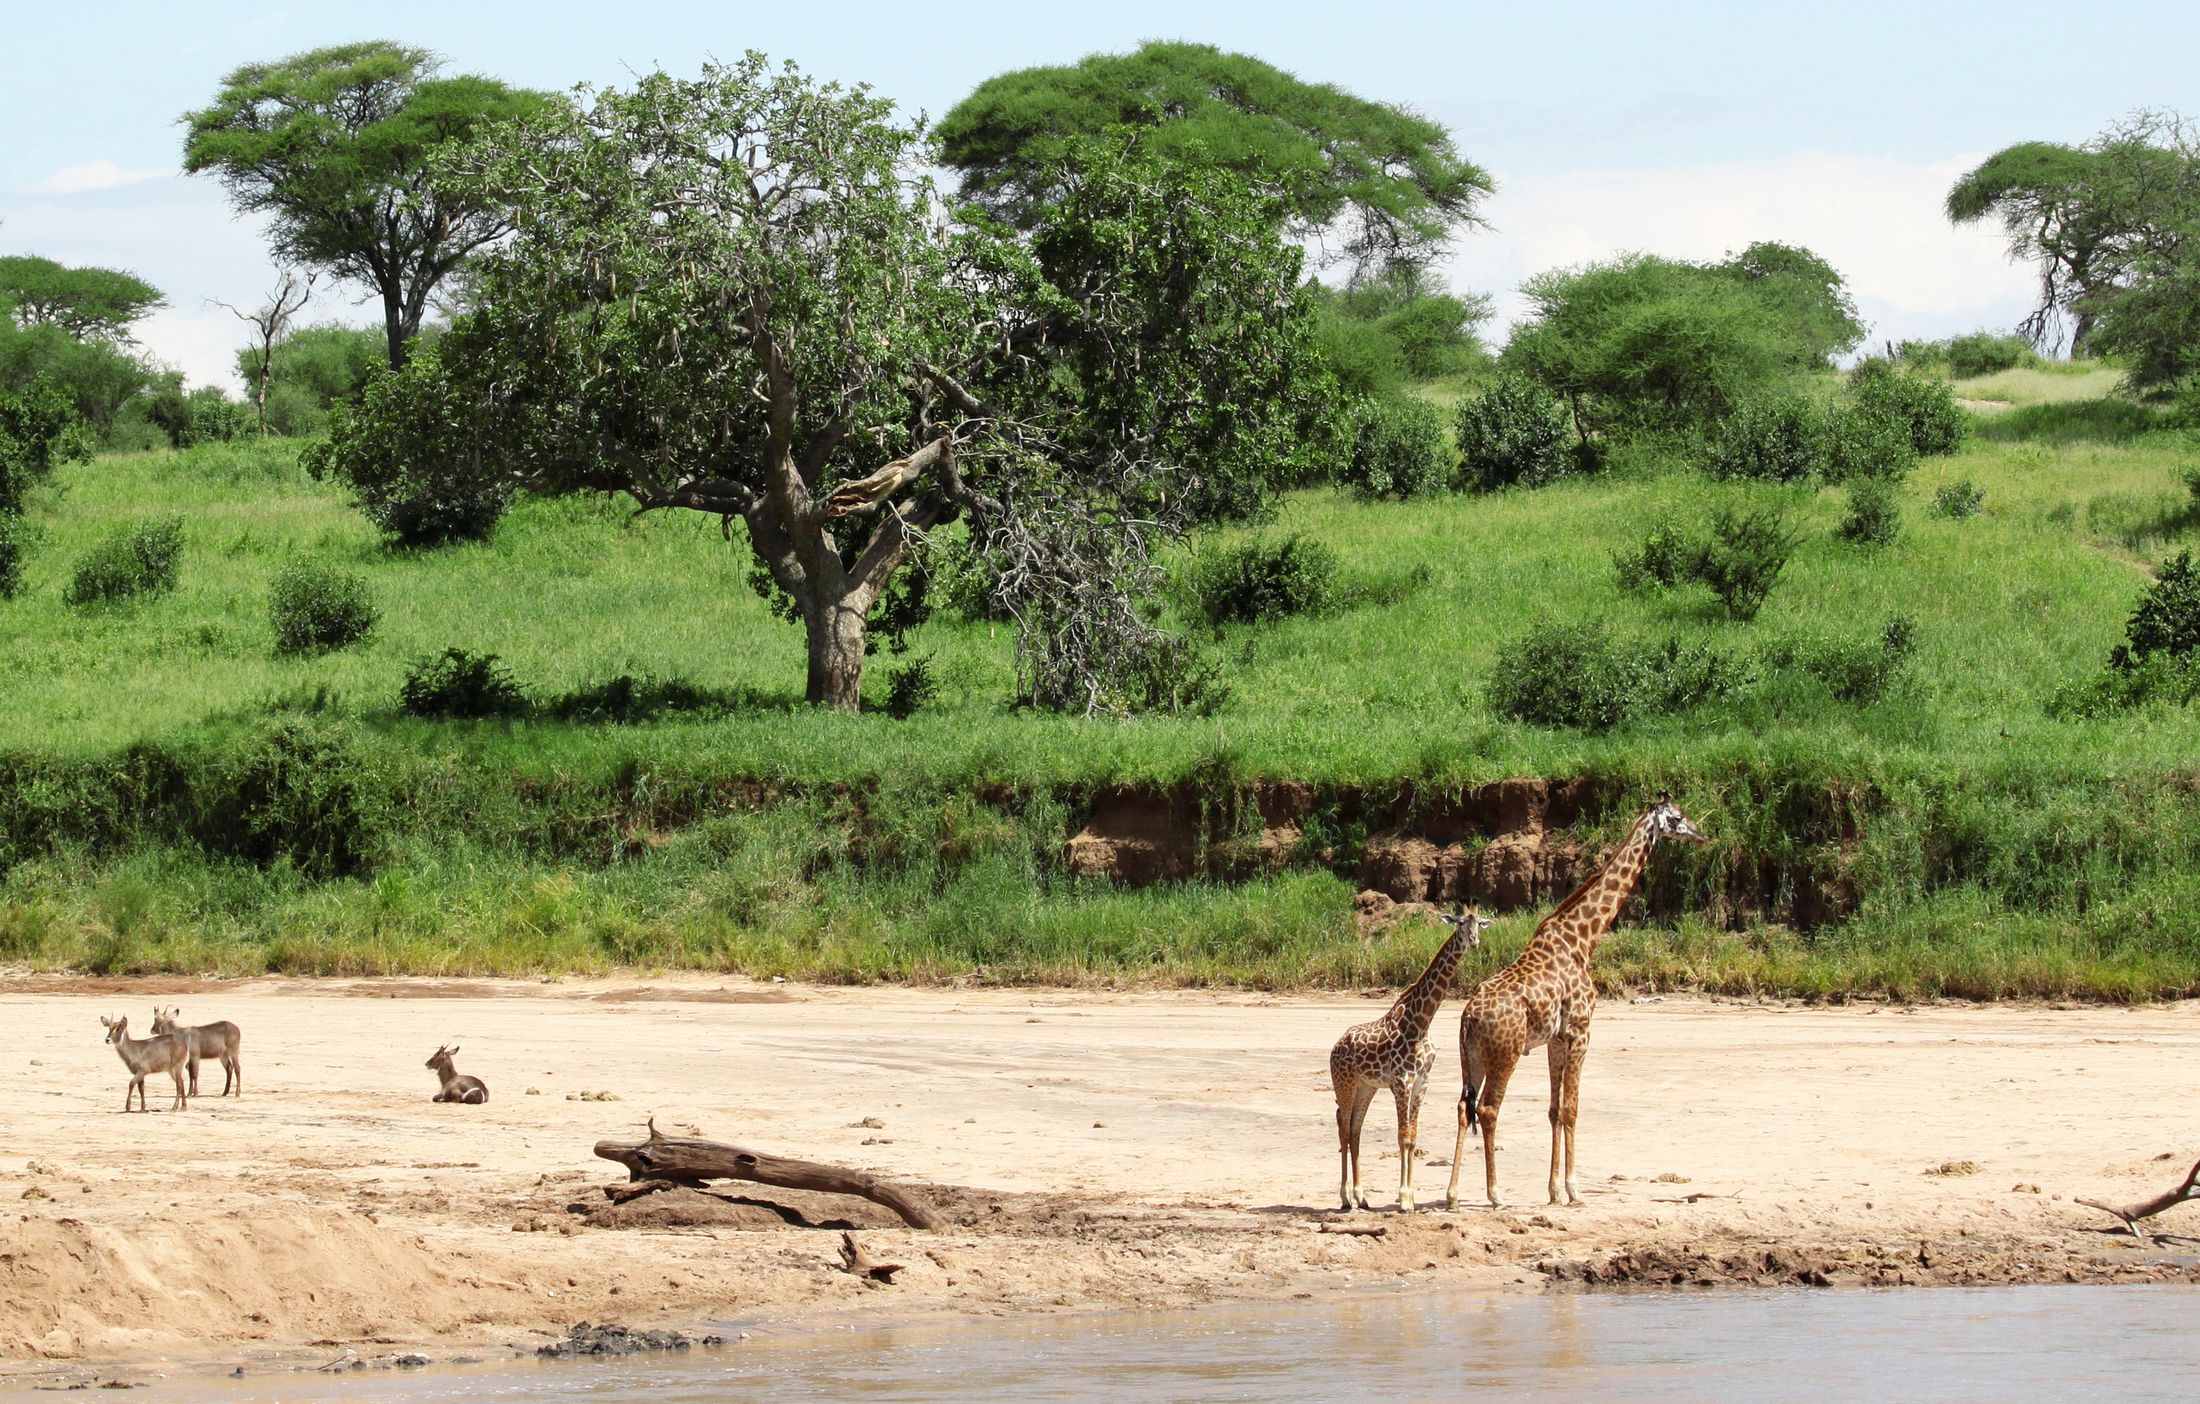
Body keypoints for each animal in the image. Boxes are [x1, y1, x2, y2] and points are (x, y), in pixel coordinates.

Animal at [1329, 907, 1493, 1213]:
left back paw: (1361, 1196)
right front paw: (1404, 1199)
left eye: (1479, 924)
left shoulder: (1420, 1084)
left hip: (1366, 1087)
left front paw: (1411, 1197)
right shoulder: (1400, 1083)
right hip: (1343, 1083)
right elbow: (1402, 1137)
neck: (1421, 1022)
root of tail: (1335, 1047)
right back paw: (1345, 1198)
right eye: (1460, 924)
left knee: (1355, 1129)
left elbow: (1413, 1137)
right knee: (1343, 1127)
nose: (1474, 941)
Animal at [1444, 793, 1706, 1211]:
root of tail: (1468, 1016)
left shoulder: (1556, 1038)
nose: (1700, 834)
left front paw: (1553, 1191)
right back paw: (1496, 1194)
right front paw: (1573, 1189)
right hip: (1506, 1053)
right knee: (1487, 1109)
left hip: (1471, 1057)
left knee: (1461, 1107)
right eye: (1678, 817)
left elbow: (1554, 1110)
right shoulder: (1582, 1030)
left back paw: (1453, 1195)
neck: (1585, 937)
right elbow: (1572, 1108)